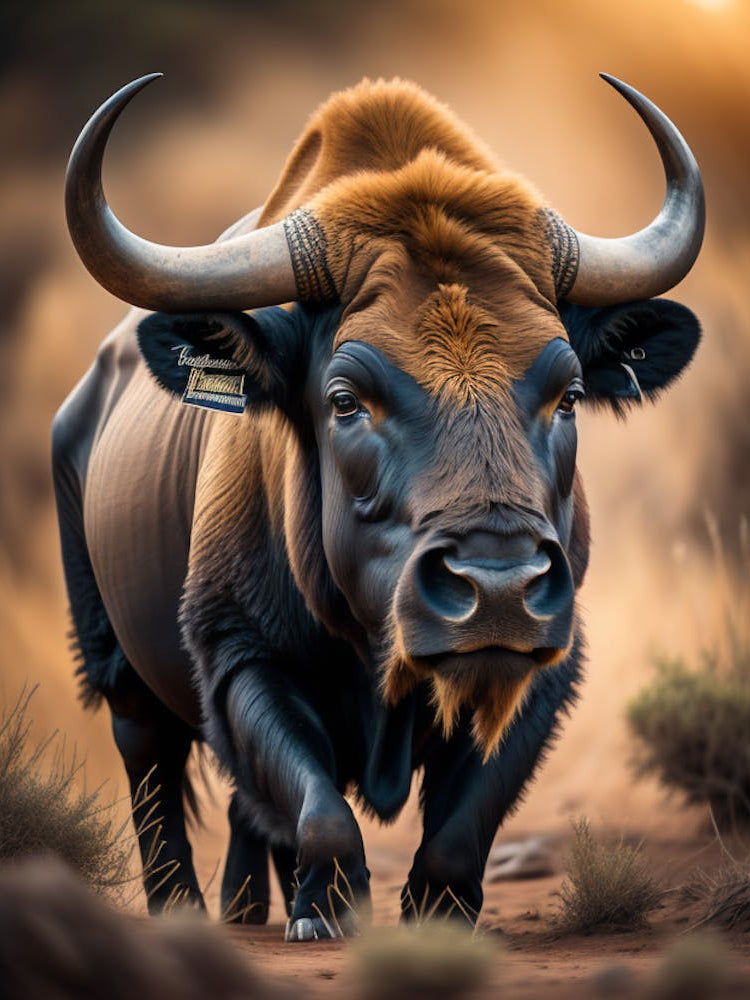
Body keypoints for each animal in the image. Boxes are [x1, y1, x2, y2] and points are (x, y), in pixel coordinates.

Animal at [54, 74, 703, 939]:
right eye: (345, 400)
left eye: (567, 394)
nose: (498, 588)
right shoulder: (237, 654)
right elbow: (318, 805)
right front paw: (326, 910)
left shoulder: (546, 672)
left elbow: (462, 822)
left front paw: (433, 911)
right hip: (114, 663)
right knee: (151, 764)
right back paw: (186, 911)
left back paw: (243, 906)